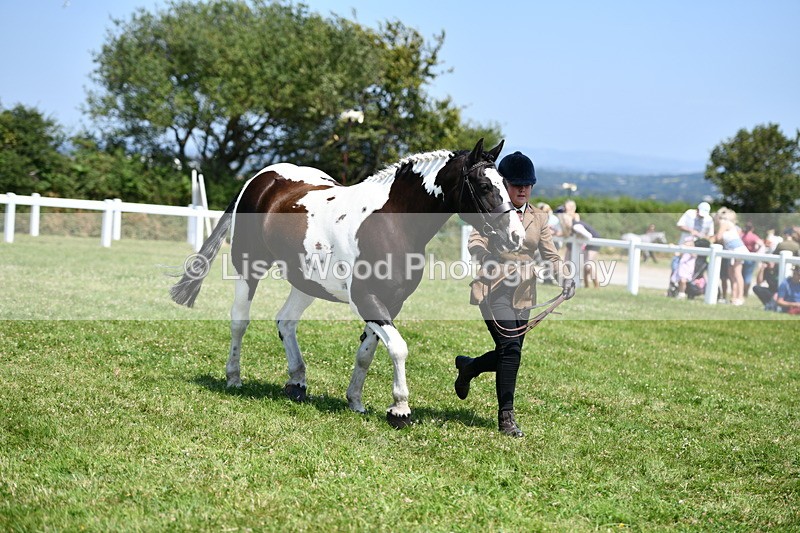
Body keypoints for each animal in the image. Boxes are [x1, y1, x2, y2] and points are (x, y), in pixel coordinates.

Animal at [170, 139, 524, 428]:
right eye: (483, 185)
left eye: (505, 184)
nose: (516, 236)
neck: (391, 221)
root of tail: (259, 180)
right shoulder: (367, 299)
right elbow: (398, 347)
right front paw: (400, 410)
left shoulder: (390, 303)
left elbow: (367, 353)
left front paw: (355, 401)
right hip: (248, 267)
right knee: (239, 321)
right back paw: (234, 377)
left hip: (306, 282)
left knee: (286, 322)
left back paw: (297, 383)